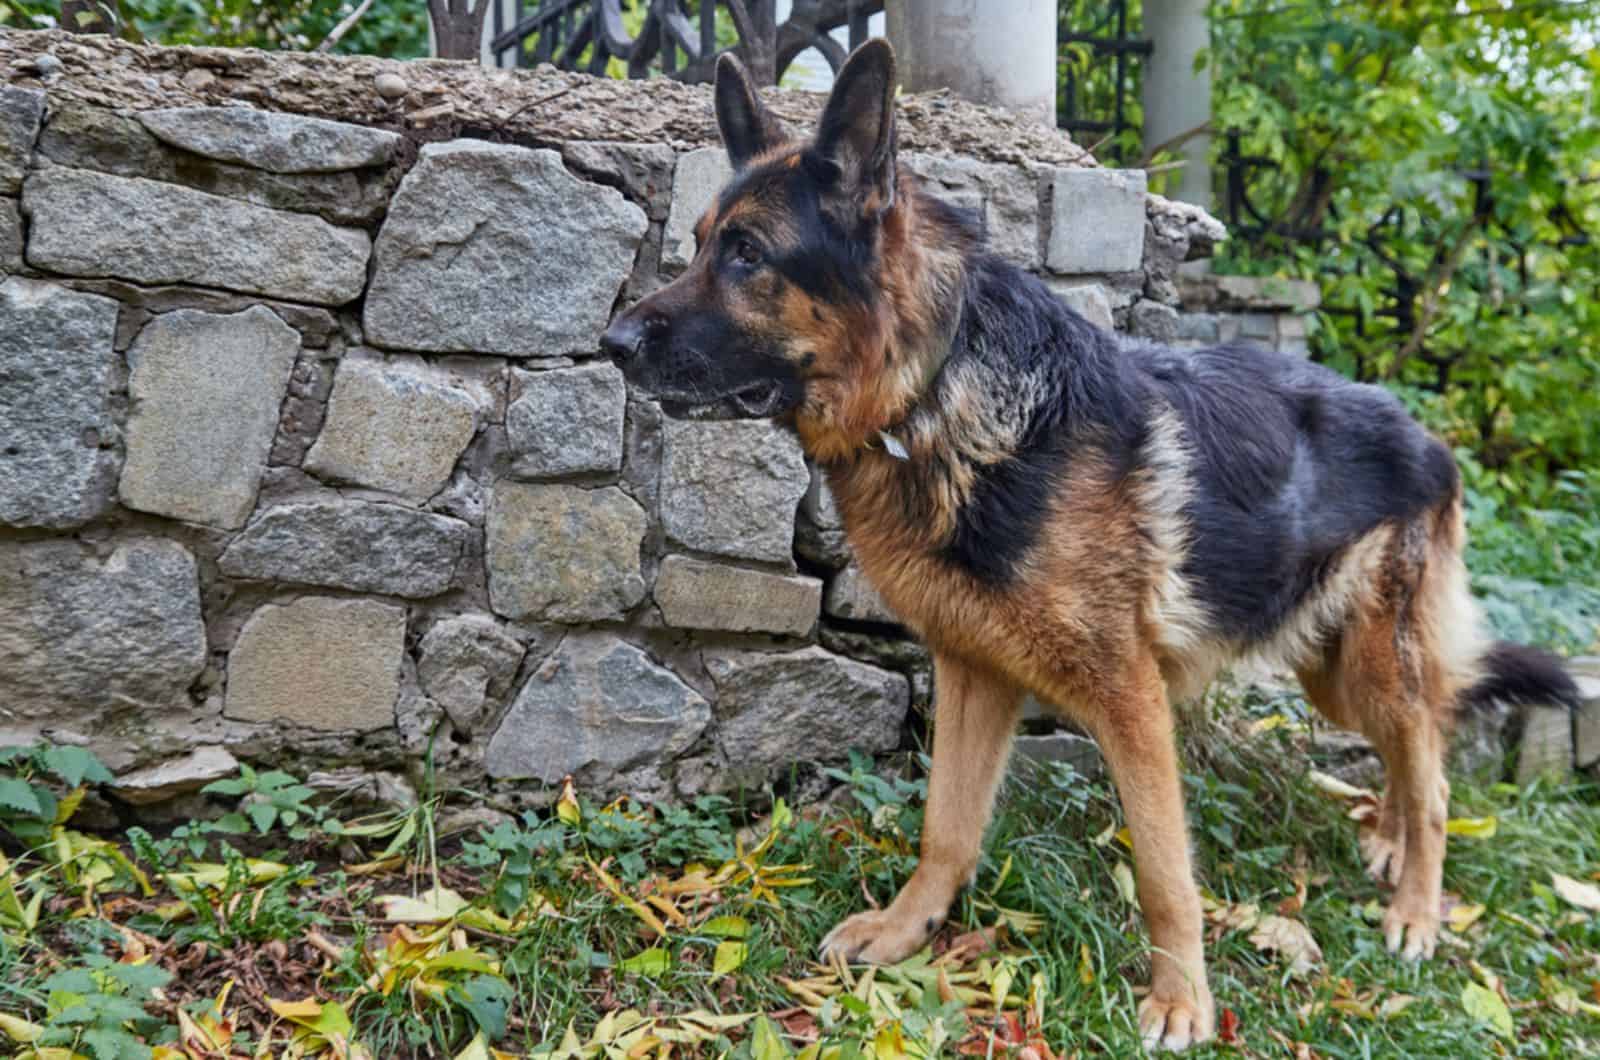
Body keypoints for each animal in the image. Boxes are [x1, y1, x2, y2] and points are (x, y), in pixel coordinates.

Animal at [604, 43, 1580, 1056]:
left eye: (748, 255)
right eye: (700, 242)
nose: (611, 341)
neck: (933, 394)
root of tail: (1427, 435)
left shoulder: (1129, 698)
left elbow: (1163, 869)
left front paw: (1182, 999)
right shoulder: (974, 673)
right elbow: (947, 826)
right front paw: (909, 930)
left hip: (1372, 666)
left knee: (1435, 773)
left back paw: (1417, 910)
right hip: (1333, 673)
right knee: (1417, 747)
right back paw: (1388, 839)